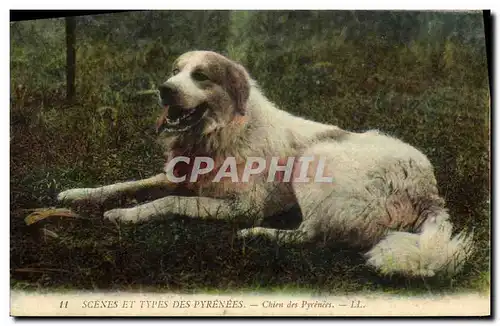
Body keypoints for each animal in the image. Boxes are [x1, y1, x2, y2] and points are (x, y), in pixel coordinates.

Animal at [58, 50, 472, 278]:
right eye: (175, 71)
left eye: (200, 76)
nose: (164, 88)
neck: (223, 132)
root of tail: (428, 192)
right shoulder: (177, 177)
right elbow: (126, 185)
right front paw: (79, 194)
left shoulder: (242, 205)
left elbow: (167, 201)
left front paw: (126, 215)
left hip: (315, 159)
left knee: (311, 235)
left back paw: (258, 235)